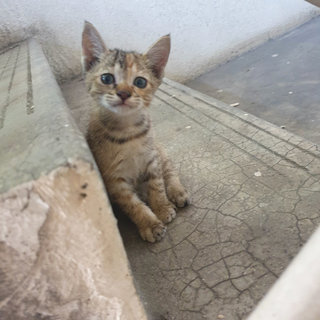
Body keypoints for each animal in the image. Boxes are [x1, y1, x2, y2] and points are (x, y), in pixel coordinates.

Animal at [81, 21, 190, 241]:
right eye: (106, 78)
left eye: (140, 82)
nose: (124, 93)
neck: (127, 130)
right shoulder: (114, 179)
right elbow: (132, 204)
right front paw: (149, 222)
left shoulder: (152, 160)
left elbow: (157, 185)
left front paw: (162, 208)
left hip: (160, 151)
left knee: (170, 171)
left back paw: (177, 191)